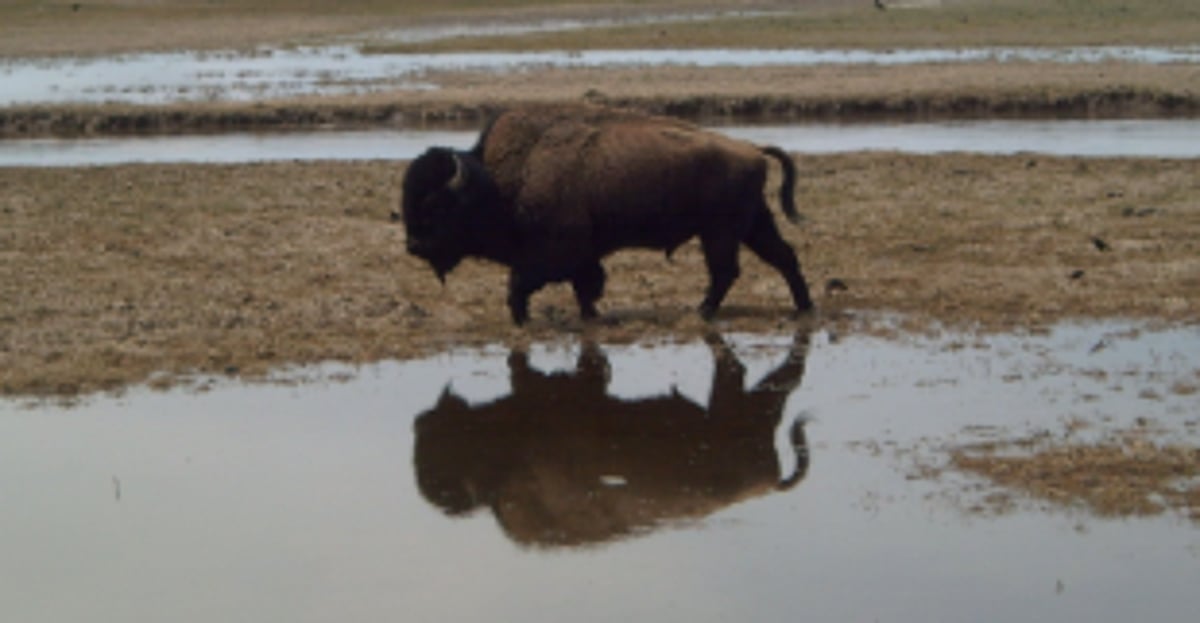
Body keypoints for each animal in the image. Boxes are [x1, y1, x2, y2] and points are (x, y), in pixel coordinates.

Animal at [399, 103, 814, 325]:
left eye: (435, 204)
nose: (414, 245)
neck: (499, 181)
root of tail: (752, 149)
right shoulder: (582, 256)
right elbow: (585, 284)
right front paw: (591, 315)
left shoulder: (554, 252)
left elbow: (521, 282)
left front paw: (521, 317)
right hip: (752, 224)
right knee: (783, 256)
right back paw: (803, 307)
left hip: (720, 231)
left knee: (726, 270)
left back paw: (702, 310)